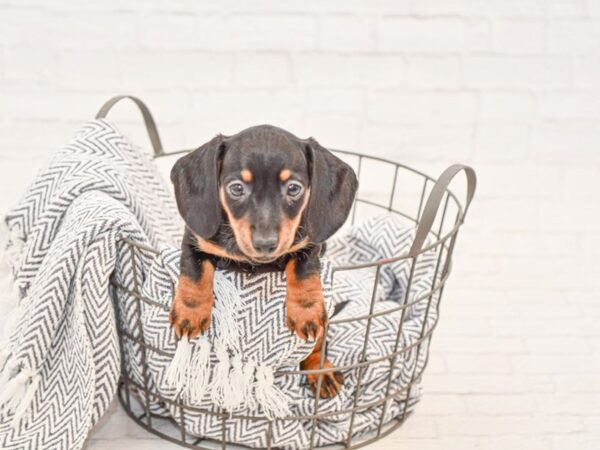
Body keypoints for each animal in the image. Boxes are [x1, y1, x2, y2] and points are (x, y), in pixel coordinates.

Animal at [169, 123, 358, 398]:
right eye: (237, 188)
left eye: (293, 188)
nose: (265, 243)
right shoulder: (195, 239)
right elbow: (194, 271)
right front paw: (190, 312)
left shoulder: (310, 244)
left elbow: (303, 268)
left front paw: (305, 311)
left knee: (318, 344)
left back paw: (320, 369)